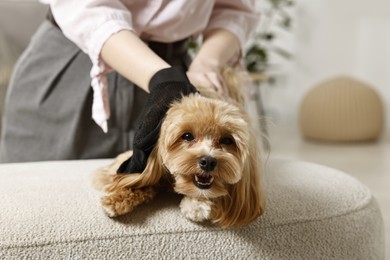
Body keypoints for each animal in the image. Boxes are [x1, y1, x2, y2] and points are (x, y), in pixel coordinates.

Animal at [93, 68, 266, 228]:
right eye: (187, 136)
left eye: (227, 140)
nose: (208, 161)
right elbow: (135, 181)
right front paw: (116, 198)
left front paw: (197, 204)